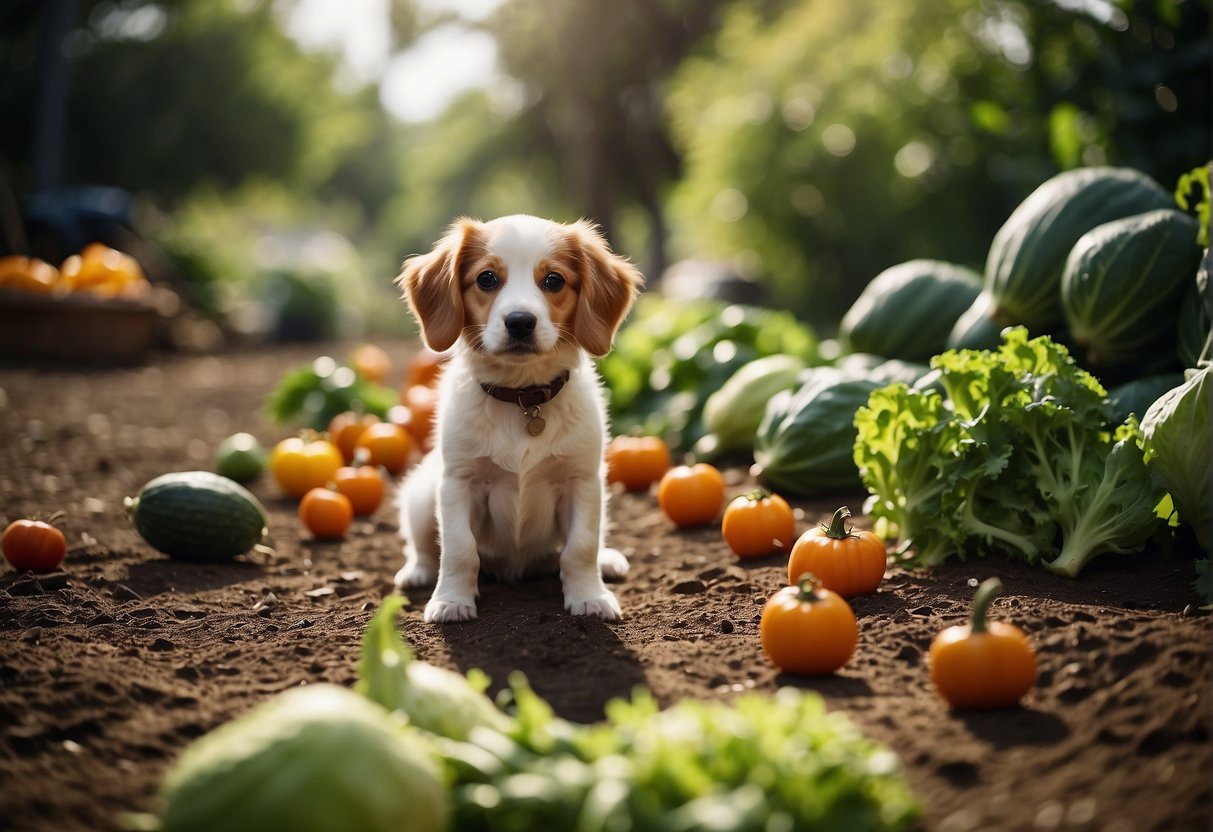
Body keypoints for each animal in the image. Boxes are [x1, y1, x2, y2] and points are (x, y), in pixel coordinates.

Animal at [395, 214, 645, 625]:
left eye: (554, 280)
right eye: (486, 279)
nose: (520, 322)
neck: (523, 399)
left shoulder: (582, 481)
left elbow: (580, 547)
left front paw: (589, 597)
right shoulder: (458, 483)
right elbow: (459, 548)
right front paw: (451, 601)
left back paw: (607, 561)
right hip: (420, 495)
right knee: (424, 546)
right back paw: (418, 572)